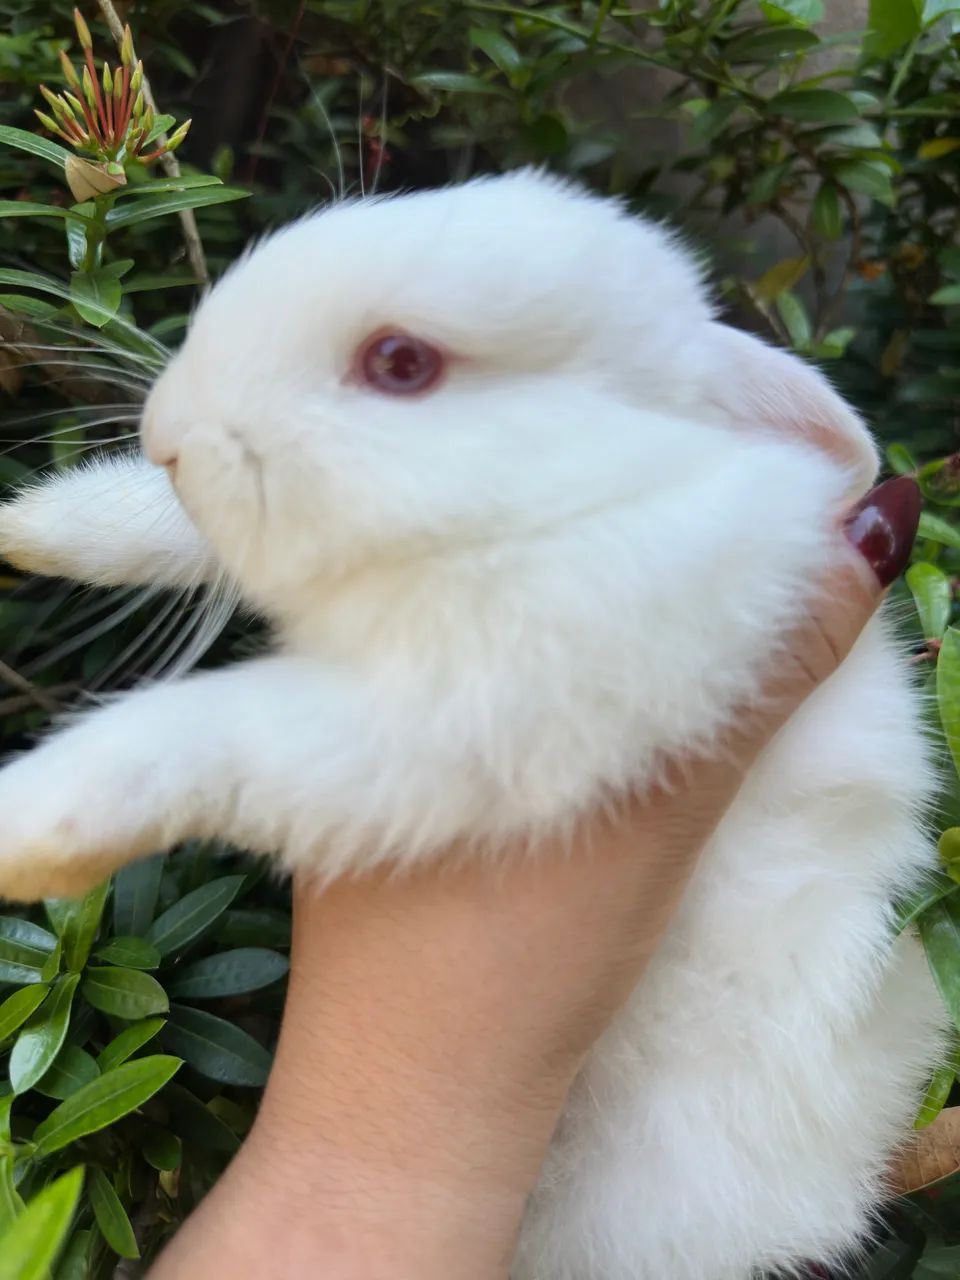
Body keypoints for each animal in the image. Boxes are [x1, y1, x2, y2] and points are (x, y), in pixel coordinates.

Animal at [0, 169, 945, 1279]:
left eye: (401, 363)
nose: (166, 431)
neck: (556, 508)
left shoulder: (457, 720)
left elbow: (216, 732)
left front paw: (30, 826)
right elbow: (171, 531)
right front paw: (36, 524)